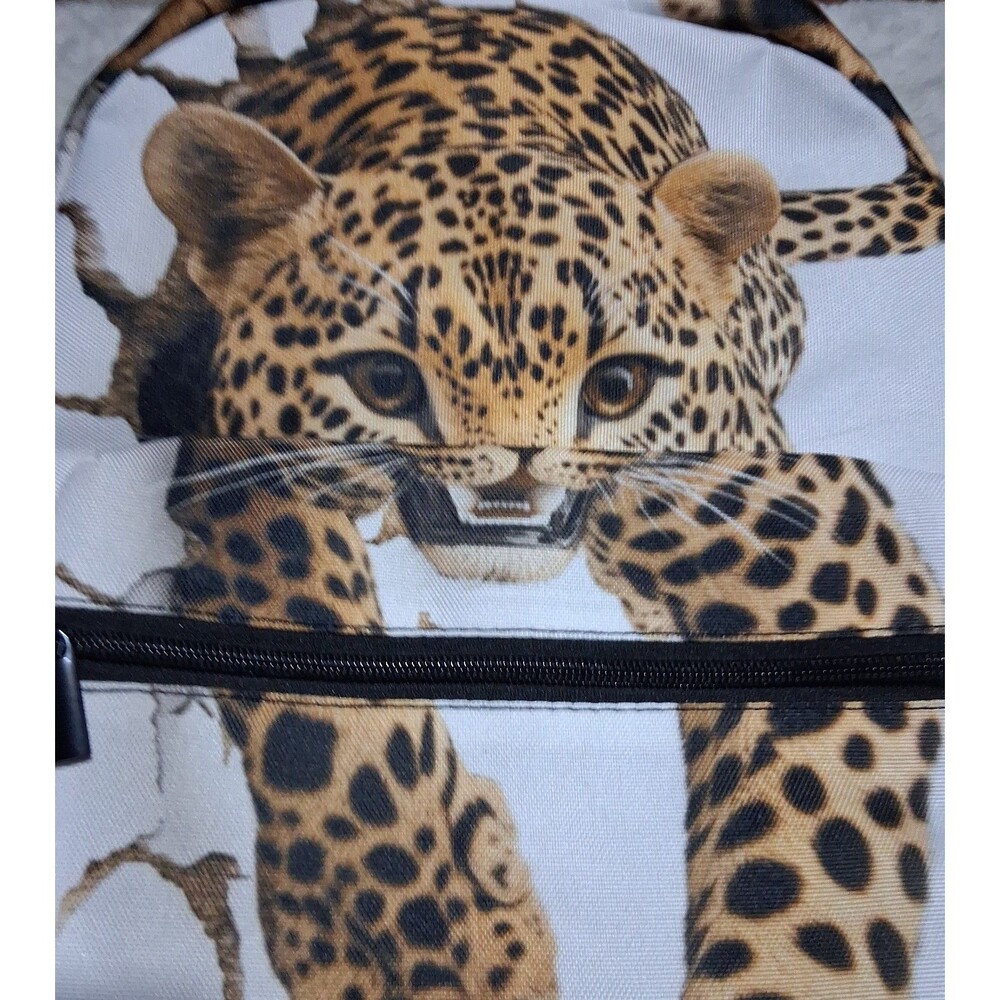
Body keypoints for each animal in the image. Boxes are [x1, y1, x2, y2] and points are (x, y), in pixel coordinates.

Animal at [58, 1, 944, 998]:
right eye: (385, 379)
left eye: (618, 385)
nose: (516, 472)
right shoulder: (232, 459)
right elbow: (319, 699)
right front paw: (433, 936)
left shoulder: (828, 569)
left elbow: (811, 886)